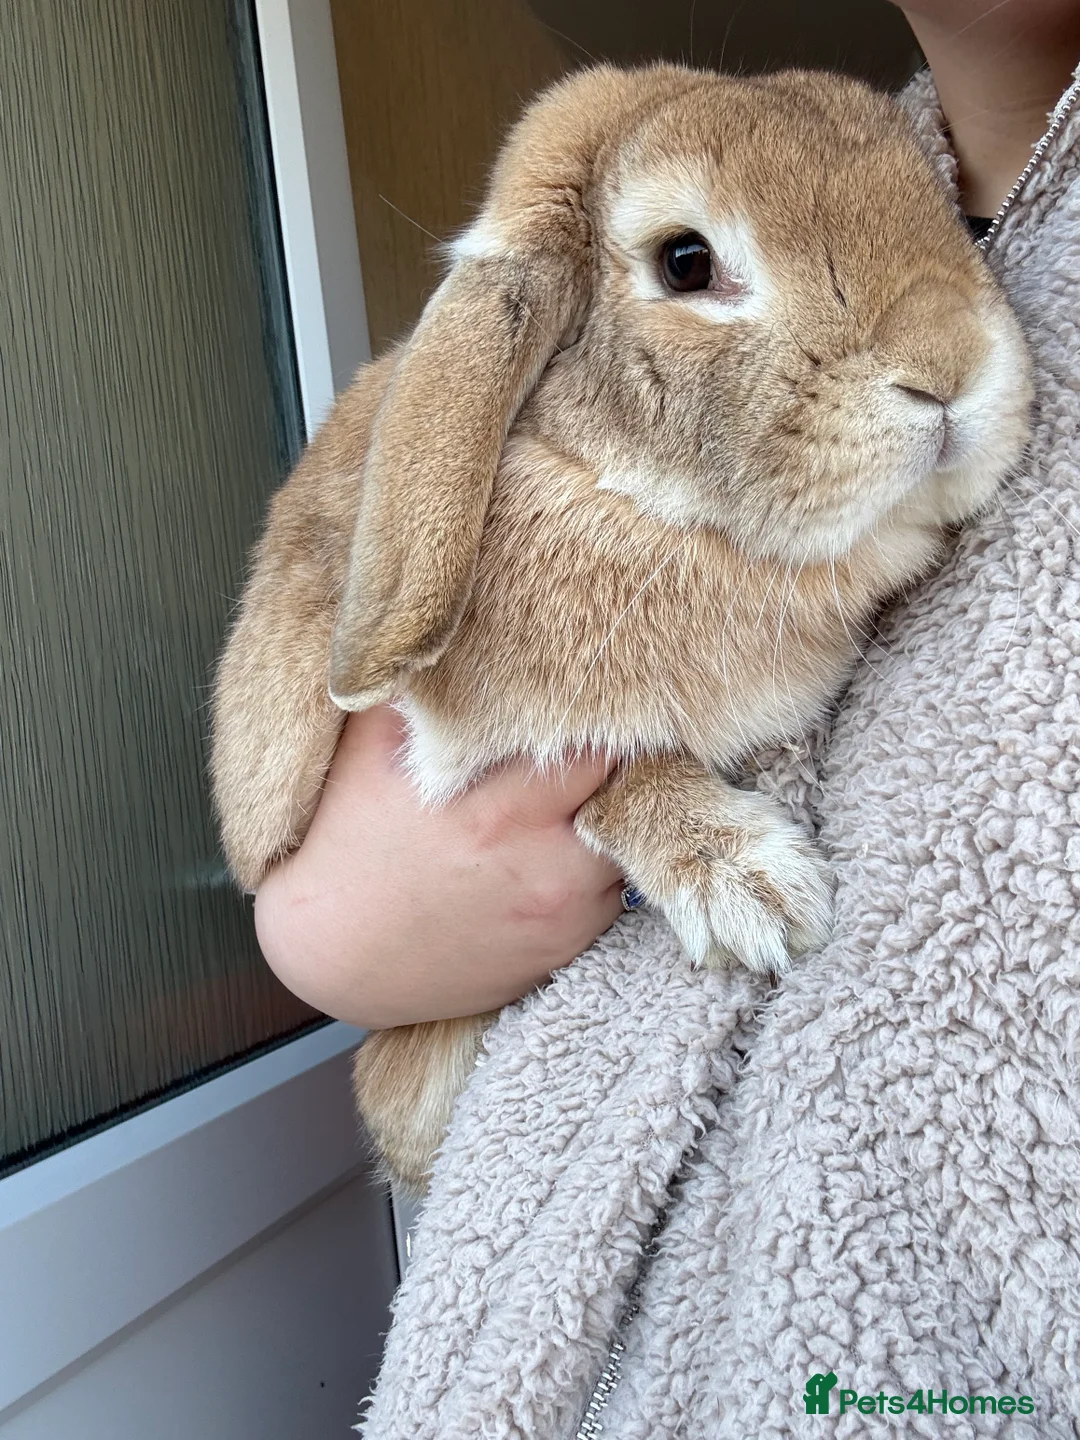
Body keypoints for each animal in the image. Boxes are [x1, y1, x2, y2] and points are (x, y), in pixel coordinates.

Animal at [211, 62, 1032, 1193]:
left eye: (940, 204)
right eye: (686, 261)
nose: (951, 364)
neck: (628, 497)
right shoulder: (480, 750)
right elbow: (621, 765)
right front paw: (754, 887)